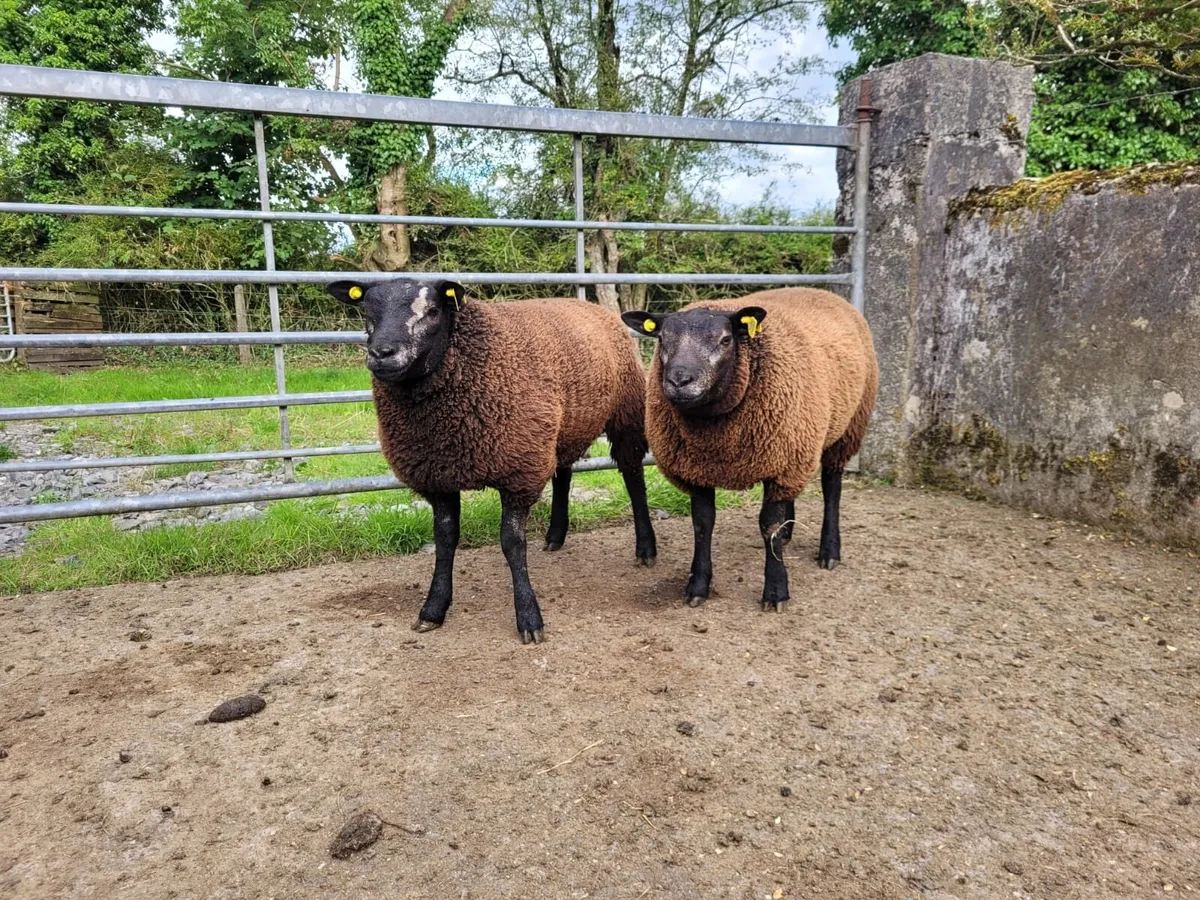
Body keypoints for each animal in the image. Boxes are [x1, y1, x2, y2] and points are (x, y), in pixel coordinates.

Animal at [329, 277, 657, 644]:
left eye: (433, 311)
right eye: (366, 310)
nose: (381, 353)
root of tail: (587, 304)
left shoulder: (519, 469)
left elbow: (512, 543)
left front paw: (529, 618)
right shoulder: (439, 475)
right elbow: (444, 540)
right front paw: (433, 609)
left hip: (625, 412)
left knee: (632, 476)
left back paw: (646, 548)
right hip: (561, 429)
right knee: (563, 474)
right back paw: (555, 535)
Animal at [621, 287, 878, 611]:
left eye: (725, 340)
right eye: (662, 339)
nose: (680, 381)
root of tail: (825, 292)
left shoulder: (781, 461)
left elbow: (769, 526)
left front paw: (776, 591)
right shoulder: (700, 468)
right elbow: (702, 525)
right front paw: (698, 585)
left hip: (845, 428)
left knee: (832, 488)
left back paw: (829, 551)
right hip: (798, 444)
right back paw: (791, 534)